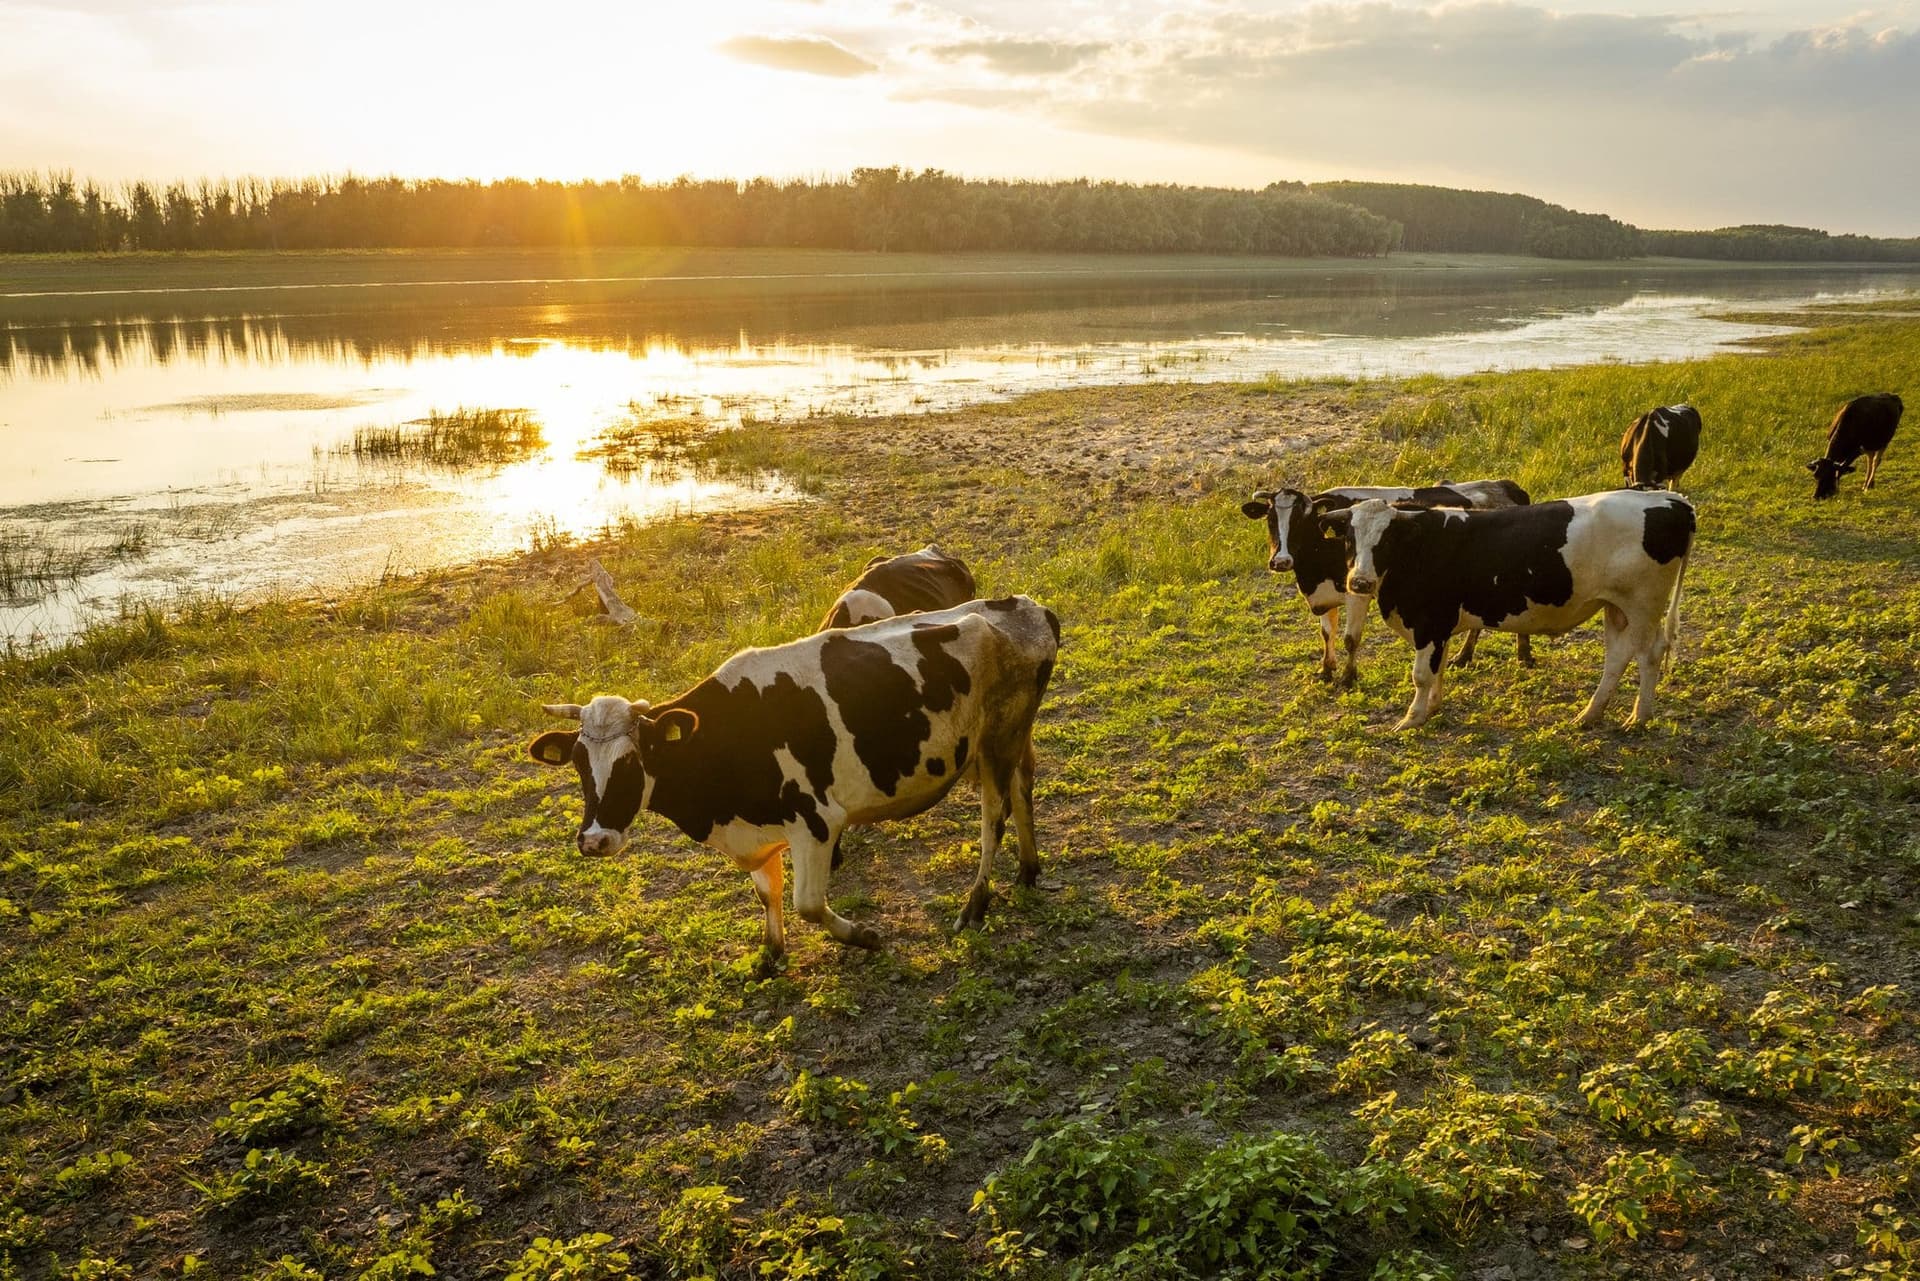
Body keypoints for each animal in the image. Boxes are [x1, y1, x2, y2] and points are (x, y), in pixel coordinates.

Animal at [529, 596, 1060, 965]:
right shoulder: (758, 832)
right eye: (579, 764)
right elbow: (769, 893)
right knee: (1023, 788)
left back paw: (976, 905)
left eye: (631, 763)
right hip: (1012, 737)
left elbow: (807, 903)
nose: (594, 840)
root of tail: (1025, 606)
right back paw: (1028, 869)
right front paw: (772, 953)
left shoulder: (817, 822)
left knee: (994, 817)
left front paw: (864, 936)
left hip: (998, 739)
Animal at [1241, 480, 1533, 686]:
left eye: (1301, 520)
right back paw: (1467, 657)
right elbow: (1327, 633)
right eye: (1270, 519)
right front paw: (1326, 670)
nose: (1281, 561)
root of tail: (1505, 486)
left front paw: (1347, 677)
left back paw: (1522, 656)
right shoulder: (1324, 594)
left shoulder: (1357, 591)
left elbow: (1350, 638)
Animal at [1317, 489, 1693, 730]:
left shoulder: (1429, 623)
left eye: (1387, 540)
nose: (1360, 582)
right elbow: (1438, 670)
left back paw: (1639, 718)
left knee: (1649, 654)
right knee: (1617, 657)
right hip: (1616, 607)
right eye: (1349, 538)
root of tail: (1670, 499)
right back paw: (1590, 715)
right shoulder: (1441, 627)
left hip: (1643, 605)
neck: (1421, 547)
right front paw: (1433, 708)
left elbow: (1421, 675)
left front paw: (1411, 718)